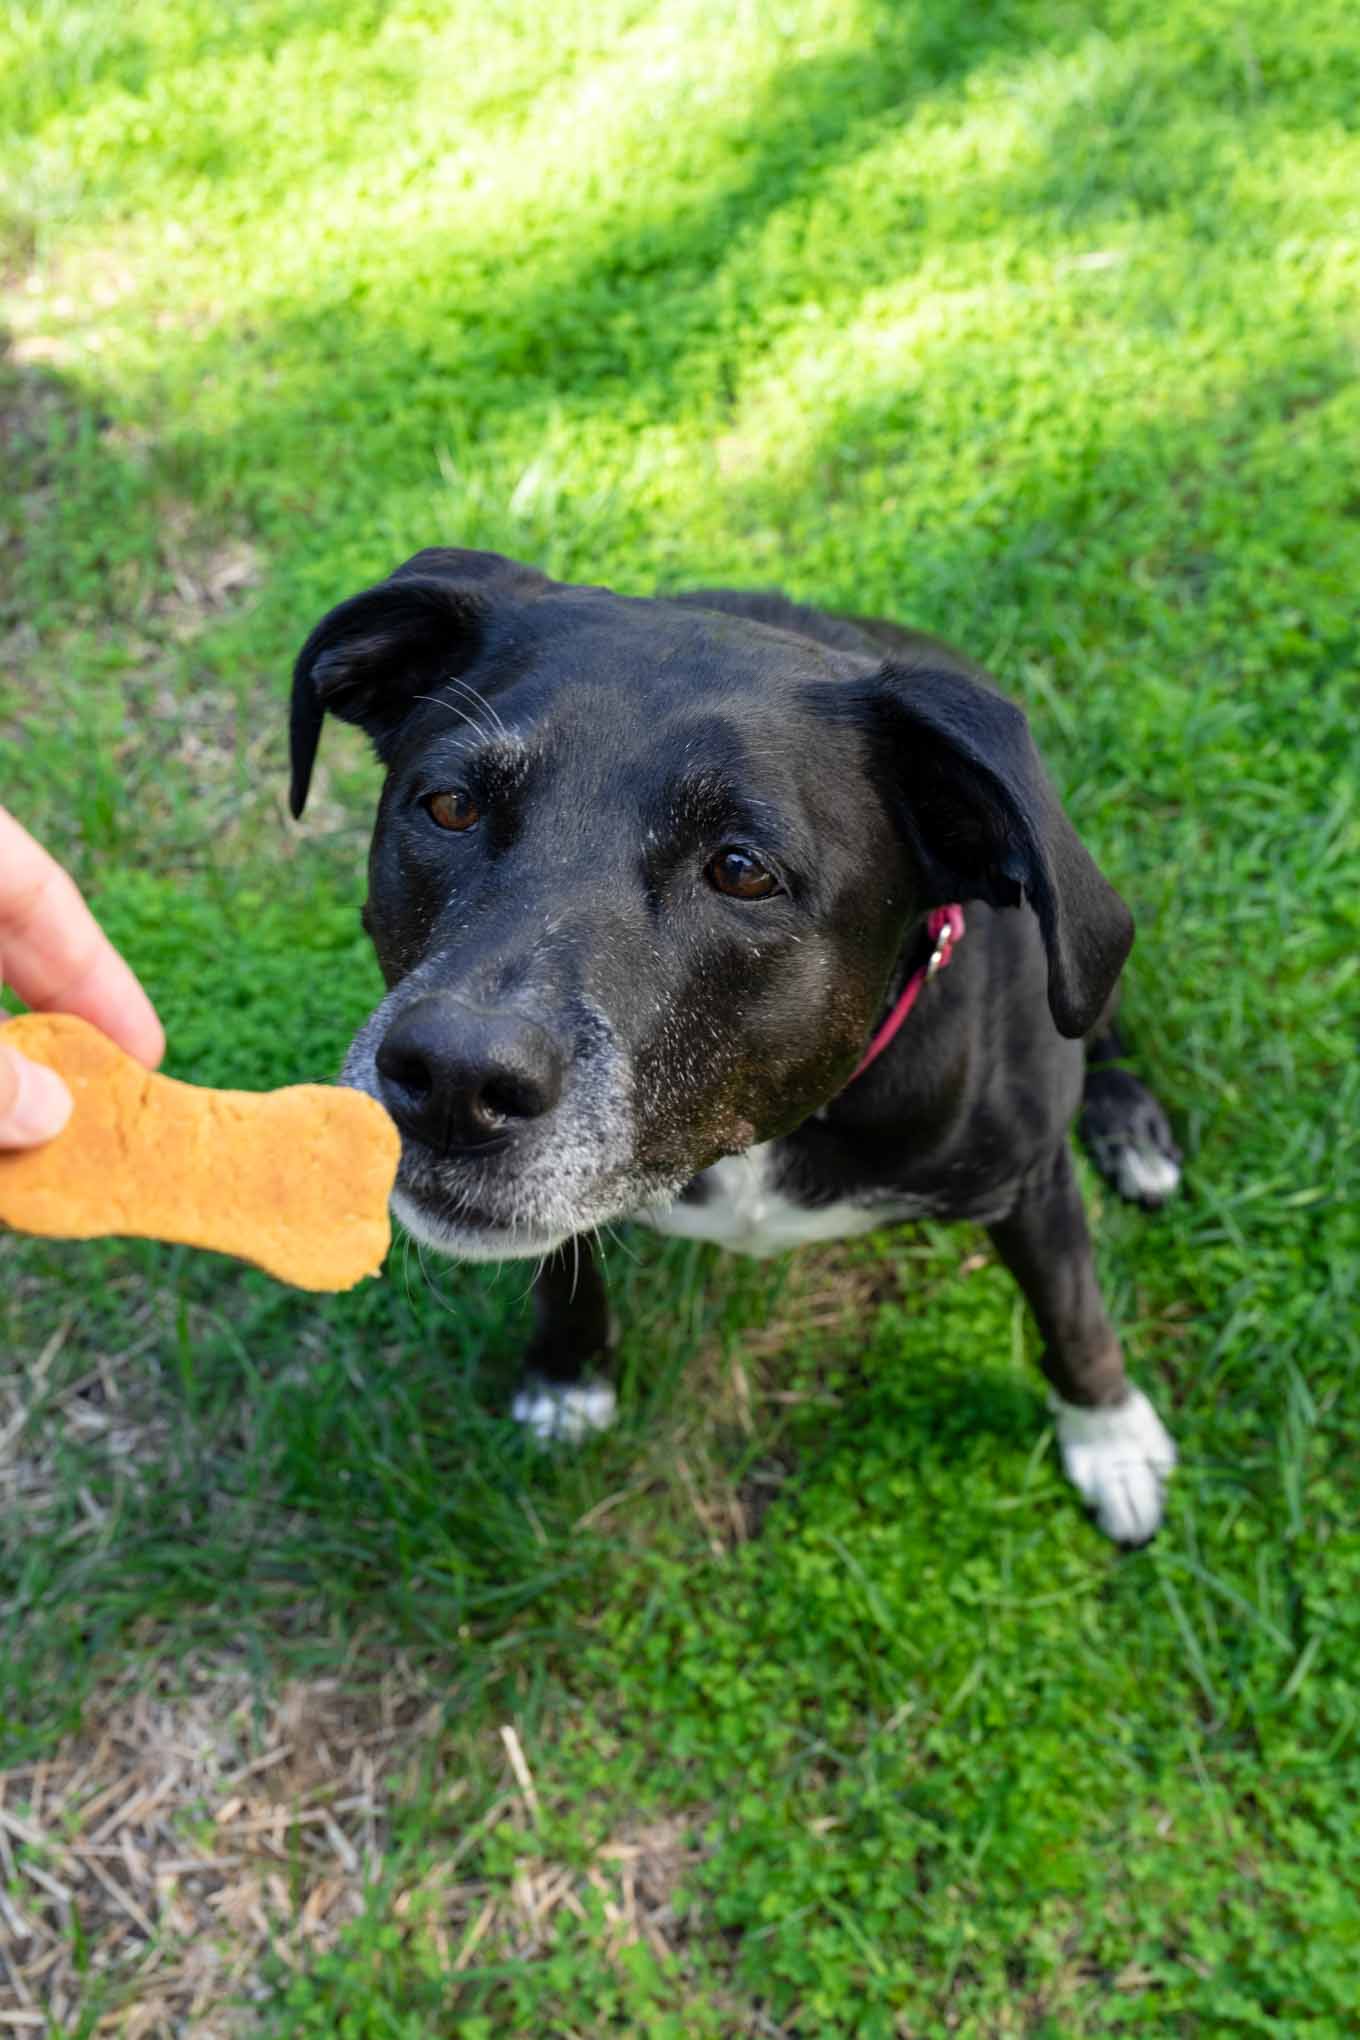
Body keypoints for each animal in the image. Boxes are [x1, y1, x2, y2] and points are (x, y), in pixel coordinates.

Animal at [295, 550, 1182, 1534]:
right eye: (451, 805)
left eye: (742, 870)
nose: (452, 1079)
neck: (764, 1121)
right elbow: (562, 1267)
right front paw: (569, 1377)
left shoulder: (1030, 1183)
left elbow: (1073, 1314)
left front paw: (1111, 1437)